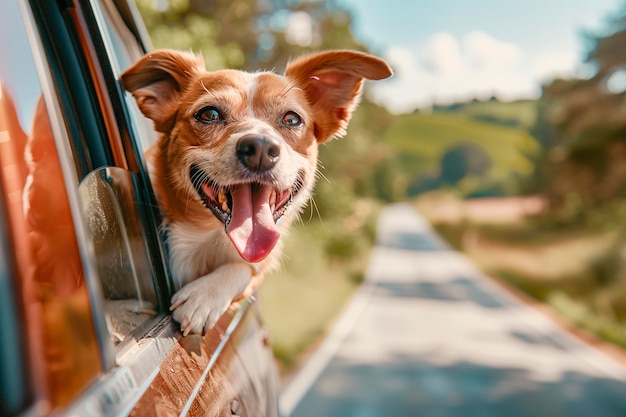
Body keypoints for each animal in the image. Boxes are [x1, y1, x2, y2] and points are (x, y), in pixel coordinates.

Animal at [120, 48, 390, 334]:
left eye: (292, 119)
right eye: (209, 114)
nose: (260, 147)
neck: (211, 239)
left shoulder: (259, 260)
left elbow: (245, 266)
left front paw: (205, 296)